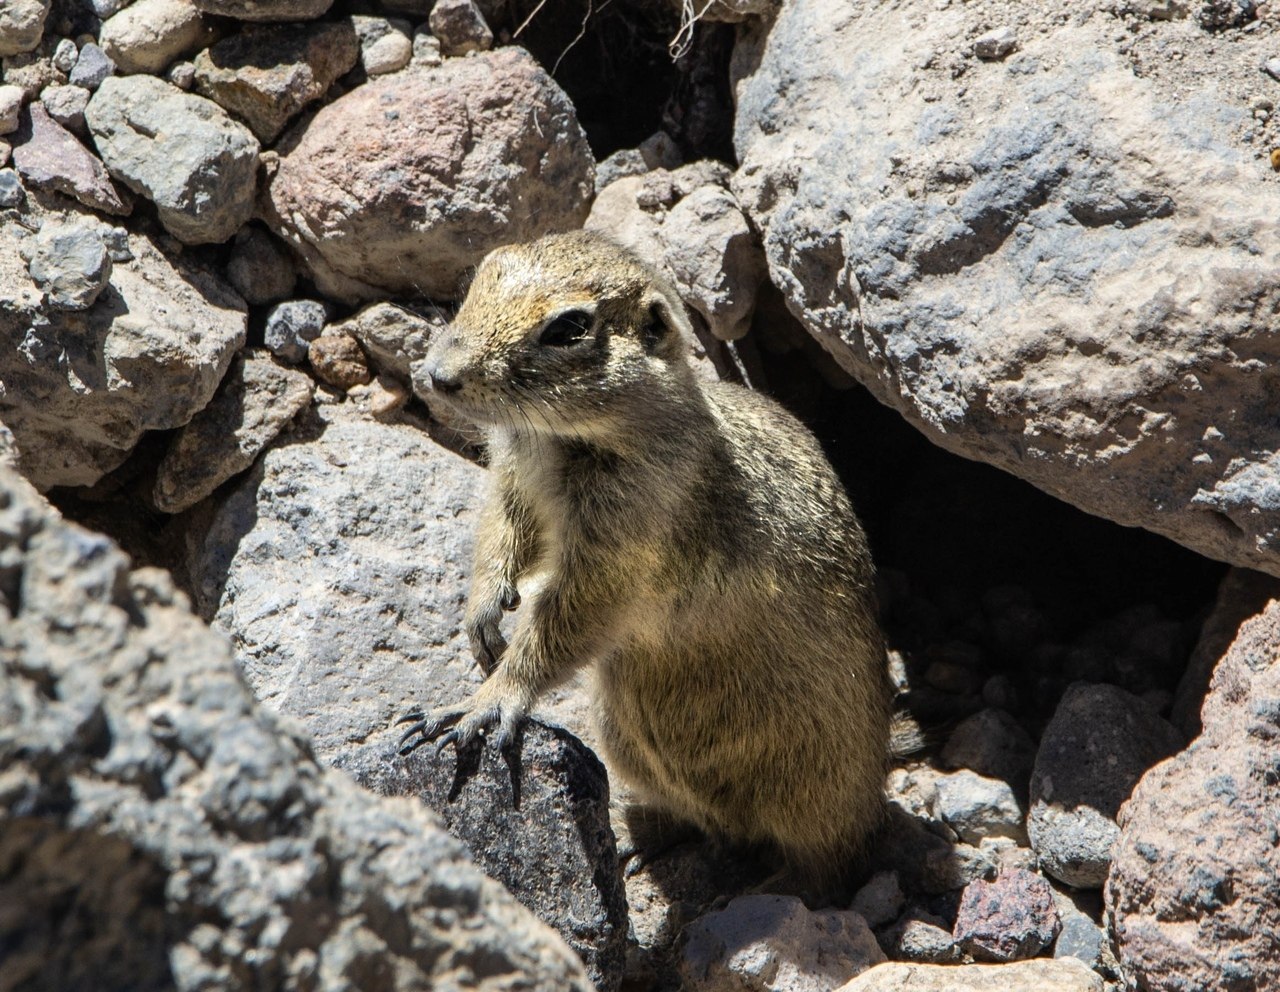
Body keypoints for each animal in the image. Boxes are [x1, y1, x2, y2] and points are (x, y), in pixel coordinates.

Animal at [399, 229, 890, 875]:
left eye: (568, 328)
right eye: (484, 271)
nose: (437, 375)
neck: (558, 442)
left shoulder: (620, 552)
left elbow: (563, 626)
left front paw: (483, 703)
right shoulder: (513, 485)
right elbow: (500, 538)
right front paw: (482, 617)